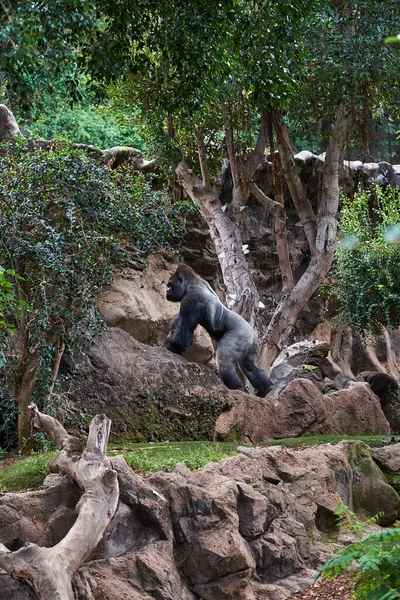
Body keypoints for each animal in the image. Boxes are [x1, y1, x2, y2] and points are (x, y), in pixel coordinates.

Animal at [164, 264, 274, 396]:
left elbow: (183, 336)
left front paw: (171, 348)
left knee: (224, 360)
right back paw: (266, 389)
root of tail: (252, 331)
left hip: (241, 334)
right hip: (253, 341)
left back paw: (235, 387)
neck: (193, 284)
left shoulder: (191, 300)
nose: (167, 291)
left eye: (170, 285)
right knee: (250, 365)